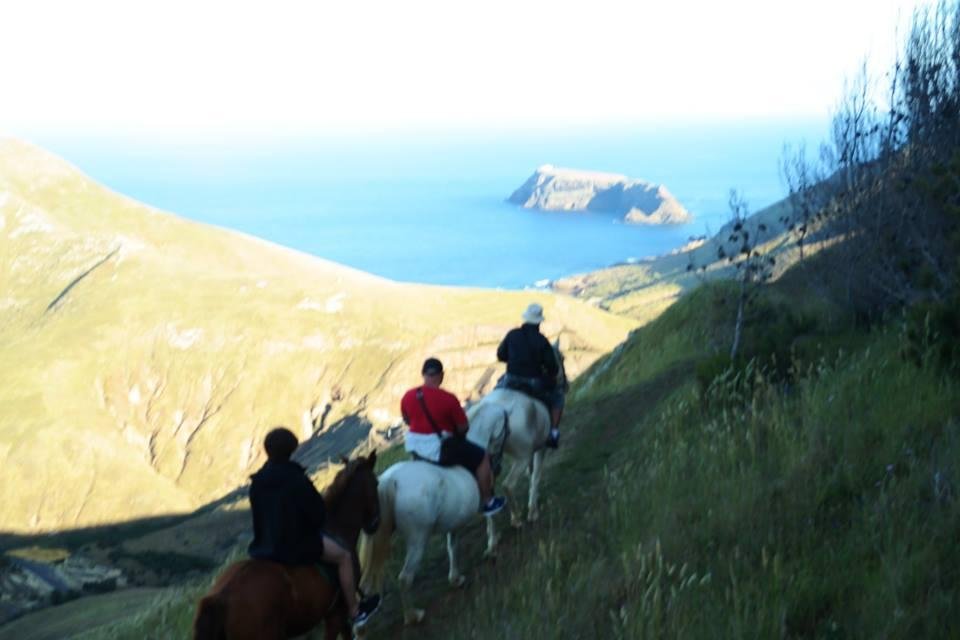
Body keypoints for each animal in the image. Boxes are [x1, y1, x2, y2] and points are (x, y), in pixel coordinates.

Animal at [191, 452, 378, 640]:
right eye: (376, 482)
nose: (374, 525)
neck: (337, 527)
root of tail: (219, 600)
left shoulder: (334, 614)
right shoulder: (337, 613)